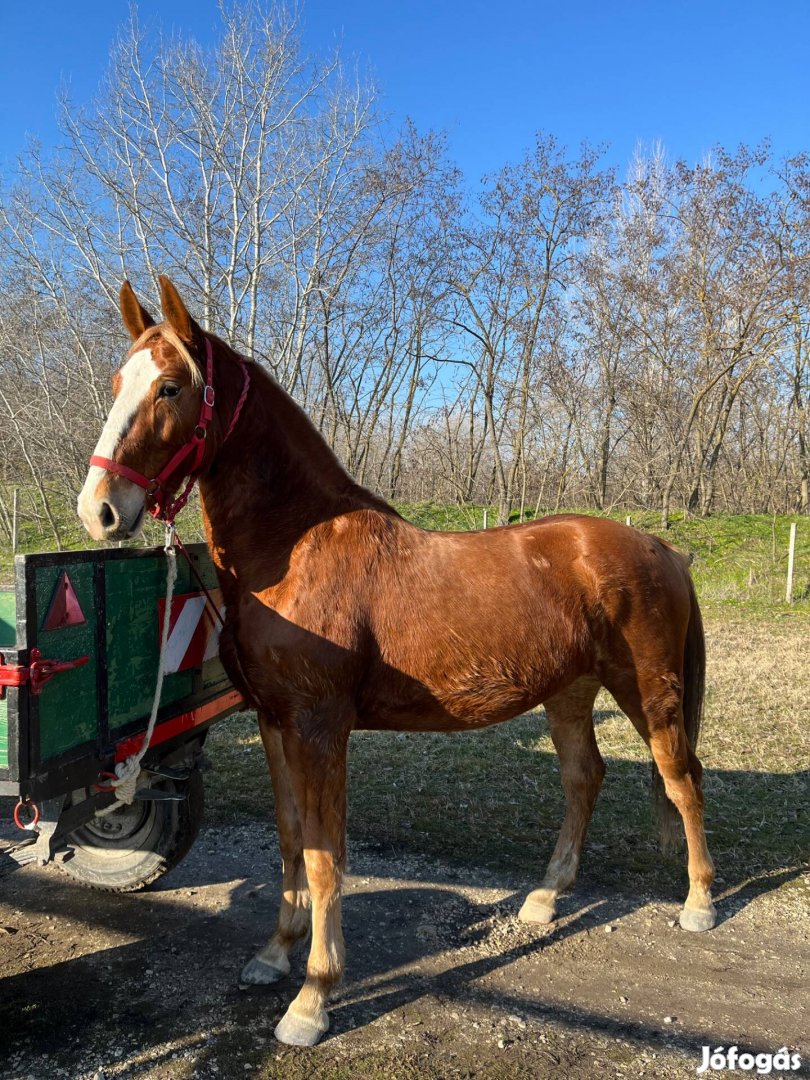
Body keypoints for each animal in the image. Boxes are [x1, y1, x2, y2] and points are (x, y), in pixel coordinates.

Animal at [81, 278, 717, 1045]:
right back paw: (544, 898)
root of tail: (660, 547)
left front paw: (313, 997)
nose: (99, 510)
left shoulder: (320, 728)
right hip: (569, 690)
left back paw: (700, 903)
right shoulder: (274, 723)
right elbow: (291, 842)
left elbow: (325, 857)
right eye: (119, 382)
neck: (294, 548)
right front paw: (275, 954)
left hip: (648, 688)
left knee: (681, 777)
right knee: (582, 778)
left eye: (171, 387)